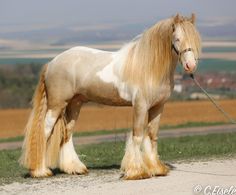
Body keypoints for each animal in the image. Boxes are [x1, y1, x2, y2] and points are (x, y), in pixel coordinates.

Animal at [19, 13, 202, 181]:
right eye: (177, 39)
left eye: (195, 39)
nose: (190, 65)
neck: (149, 68)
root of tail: (52, 63)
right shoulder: (140, 106)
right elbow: (137, 136)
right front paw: (136, 172)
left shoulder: (158, 107)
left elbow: (151, 136)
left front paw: (156, 169)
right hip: (56, 105)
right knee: (44, 132)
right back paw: (40, 171)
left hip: (75, 104)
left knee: (67, 133)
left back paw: (75, 168)